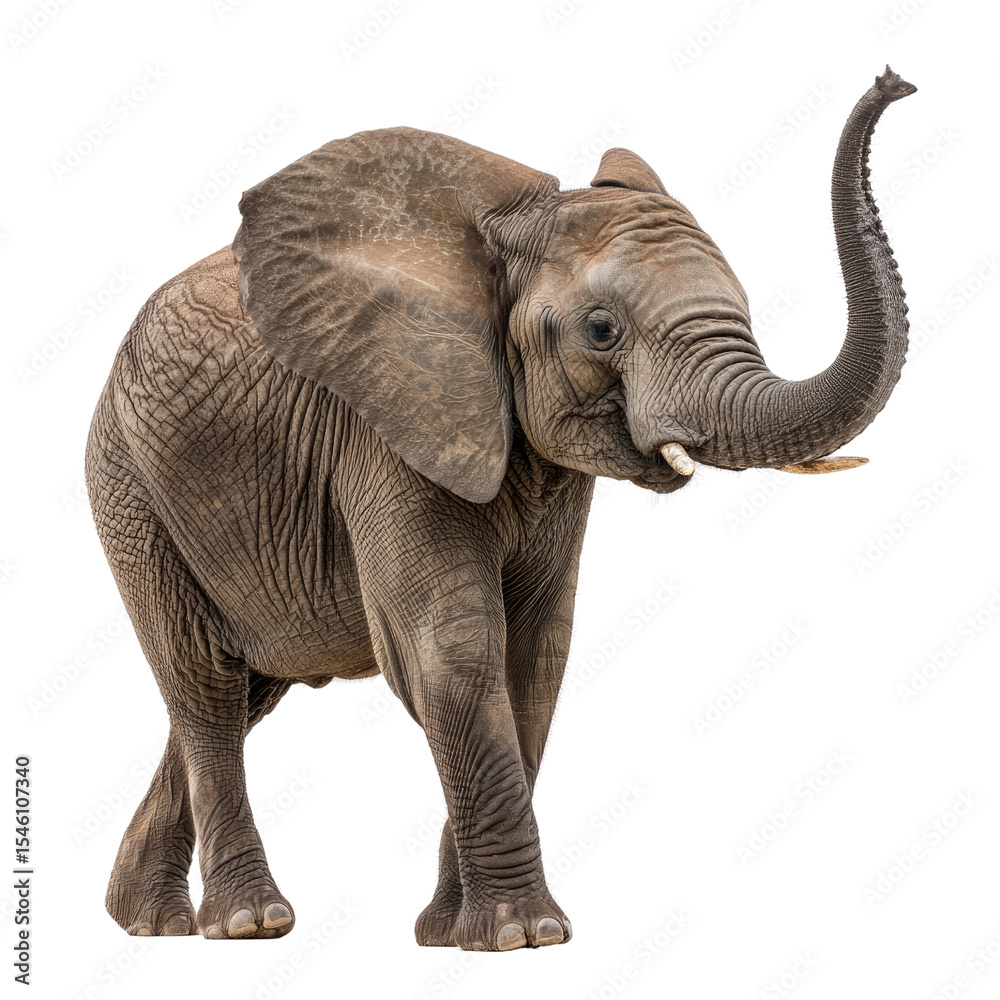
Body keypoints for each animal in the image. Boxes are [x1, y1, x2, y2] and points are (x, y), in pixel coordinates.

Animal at [85, 67, 915, 950]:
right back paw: (249, 923)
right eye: (600, 329)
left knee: (244, 688)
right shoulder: (389, 425)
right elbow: (453, 649)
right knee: (203, 680)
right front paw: (525, 936)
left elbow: (536, 655)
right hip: (129, 485)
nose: (894, 80)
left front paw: (448, 934)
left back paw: (148, 922)